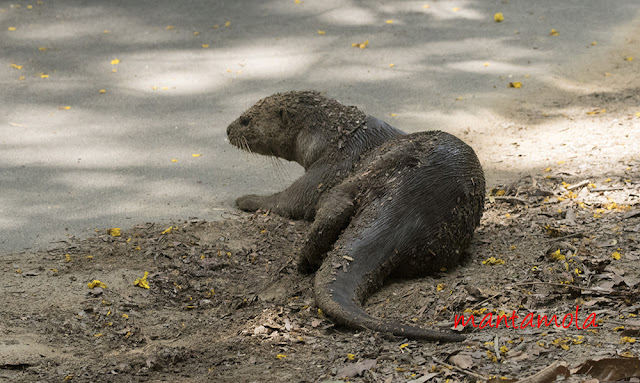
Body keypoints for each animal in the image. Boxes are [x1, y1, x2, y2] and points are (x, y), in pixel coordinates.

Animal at [228, 92, 482, 342]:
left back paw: (300, 264)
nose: (228, 129)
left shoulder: (333, 165)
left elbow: (293, 200)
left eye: (245, 120)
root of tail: (410, 202)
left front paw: (246, 199)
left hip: (360, 178)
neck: (331, 135)